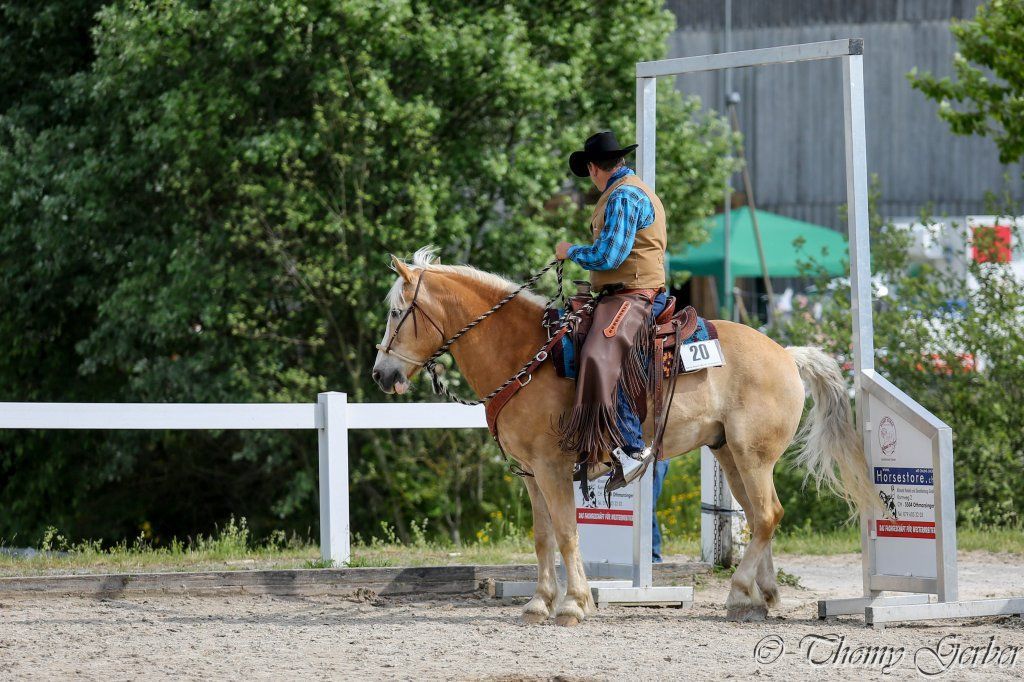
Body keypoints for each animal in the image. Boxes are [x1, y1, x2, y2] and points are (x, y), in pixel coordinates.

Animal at [372, 247, 878, 626]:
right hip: (730, 455)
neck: (527, 356)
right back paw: (762, 597)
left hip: (754, 456)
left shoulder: (553, 468)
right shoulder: (532, 473)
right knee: (758, 517)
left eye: (397, 313)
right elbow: (542, 537)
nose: (381, 374)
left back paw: (738, 593)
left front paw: (574, 604)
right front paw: (538, 603)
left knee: (769, 514)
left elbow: (567, 533)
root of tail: (788, 354)